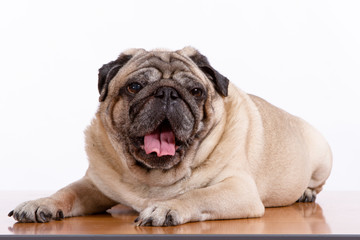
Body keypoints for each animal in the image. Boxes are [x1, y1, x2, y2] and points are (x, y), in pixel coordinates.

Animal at [7, 46, 332, 226]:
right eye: (134, 87)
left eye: (196, 91)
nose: (167, 92)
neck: (153, 178)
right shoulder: (94, 184)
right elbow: (67, 191)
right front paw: (40, 203)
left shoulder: (238, 189)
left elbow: (197, 194)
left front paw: (167, 208)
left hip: (323, 154)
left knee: (317, 183)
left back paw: (306, 193)